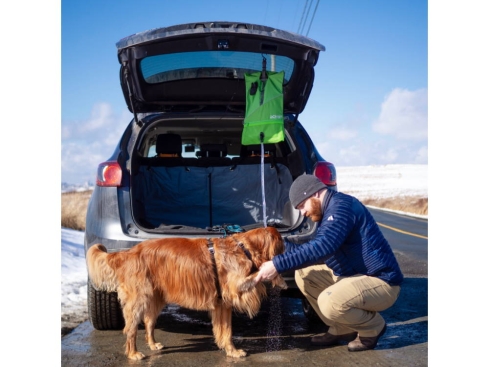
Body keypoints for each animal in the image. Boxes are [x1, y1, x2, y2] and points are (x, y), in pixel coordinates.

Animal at [85, 226, 284, 360]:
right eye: (282, 244)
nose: (287, 253)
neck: (243, 248)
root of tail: (129, 253)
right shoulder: (235, 289)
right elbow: (255, 276)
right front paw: (277, 277)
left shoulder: (223, 304)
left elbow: (226, 331)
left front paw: (230, 350)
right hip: (138, 300)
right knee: (131, 329)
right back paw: (133, 353)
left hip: (155, 298)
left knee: (149, 323)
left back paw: (153, 344)